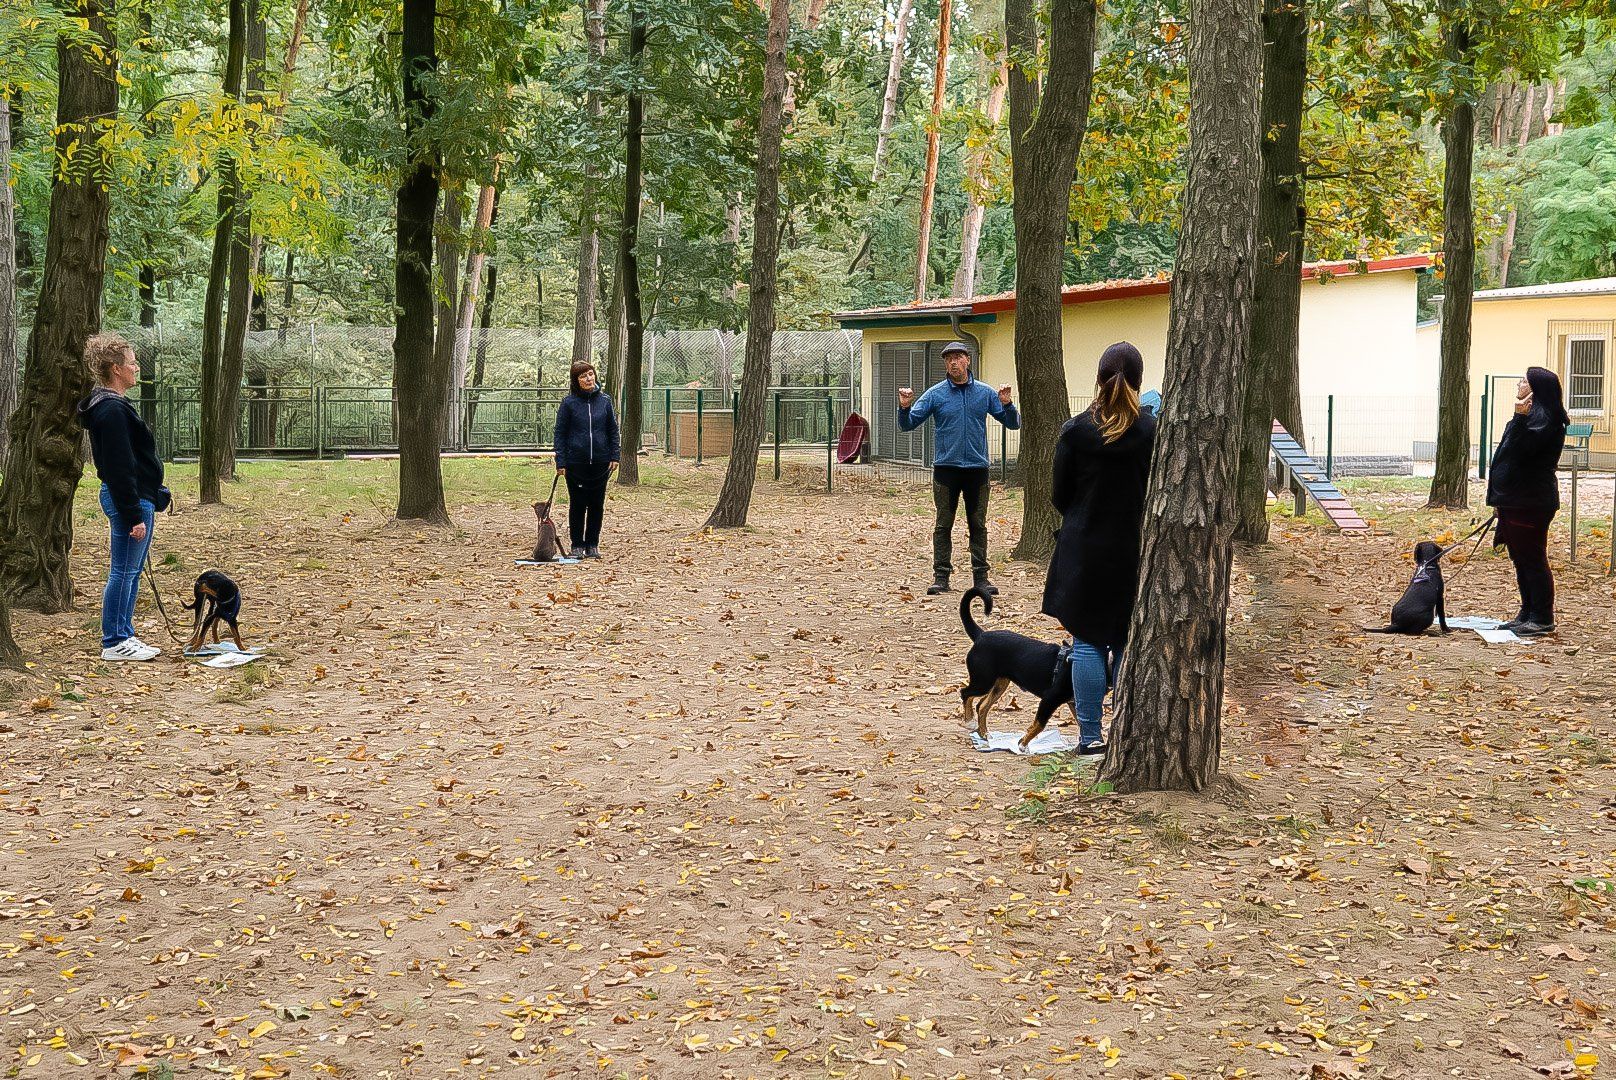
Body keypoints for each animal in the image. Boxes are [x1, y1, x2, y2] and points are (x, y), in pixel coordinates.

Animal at [956, 591, 1073, 750]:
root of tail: (981, 635)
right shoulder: (1049, 699)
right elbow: (1039, 724)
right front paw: (1023, 744)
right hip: (983, 681)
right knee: (965, 693)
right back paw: (970, 722)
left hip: (1000, 684)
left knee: (982, 706)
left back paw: (984, 734)